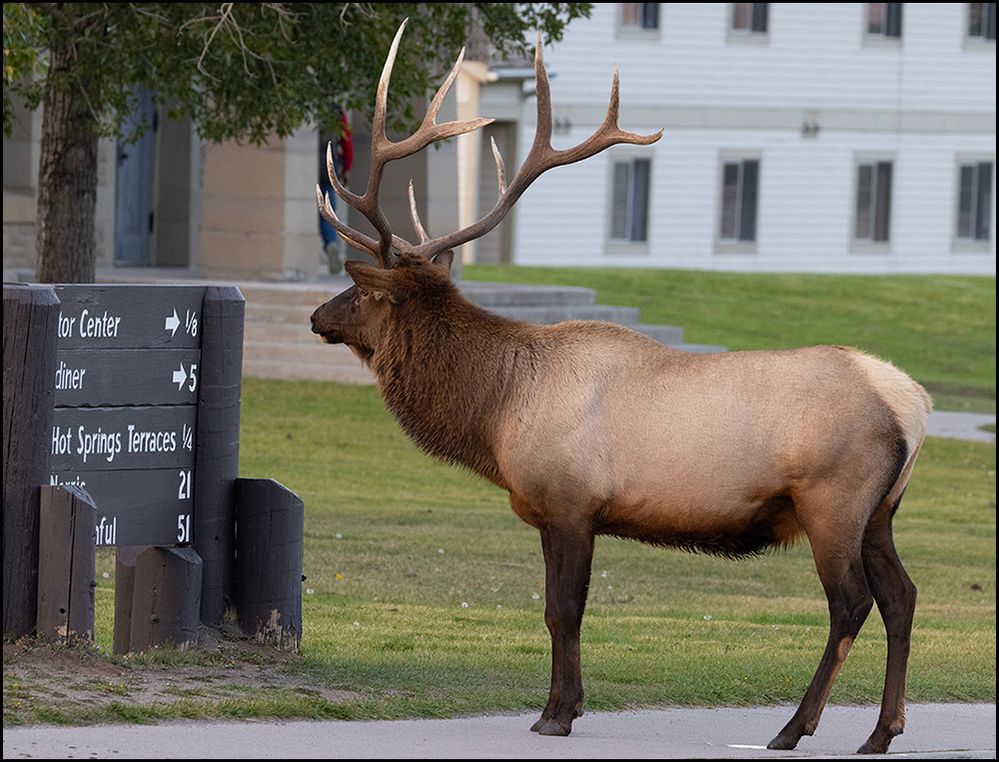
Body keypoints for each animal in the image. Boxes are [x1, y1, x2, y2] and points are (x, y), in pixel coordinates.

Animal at [310, 20, 932, 755]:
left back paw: (792, 727)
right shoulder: (564, 512)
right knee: (902, 597)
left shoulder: (569, 503)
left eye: (363, 292)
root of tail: (914, 405)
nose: (316, 315)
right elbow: (561, 613)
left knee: (850, 604)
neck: (496, 414)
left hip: (832, 500)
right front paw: (563, 706)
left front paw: (557, 712)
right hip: (880, 510)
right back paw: (881, 731)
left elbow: (562, 611)